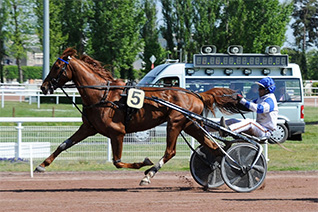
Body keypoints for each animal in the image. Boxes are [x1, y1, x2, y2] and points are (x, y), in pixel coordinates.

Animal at [34, 47, 240, 185]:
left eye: (57, 67)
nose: (43, 87)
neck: (103, 95)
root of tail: (196, 94)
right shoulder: (88, 128)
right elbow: (63, 145)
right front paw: (42, 165)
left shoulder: (117, 132)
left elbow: (117, 162)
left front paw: (144, 163)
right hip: (190, 125)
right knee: (214, 147)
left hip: (175, 123)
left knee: (170, 152)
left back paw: (149, 174)